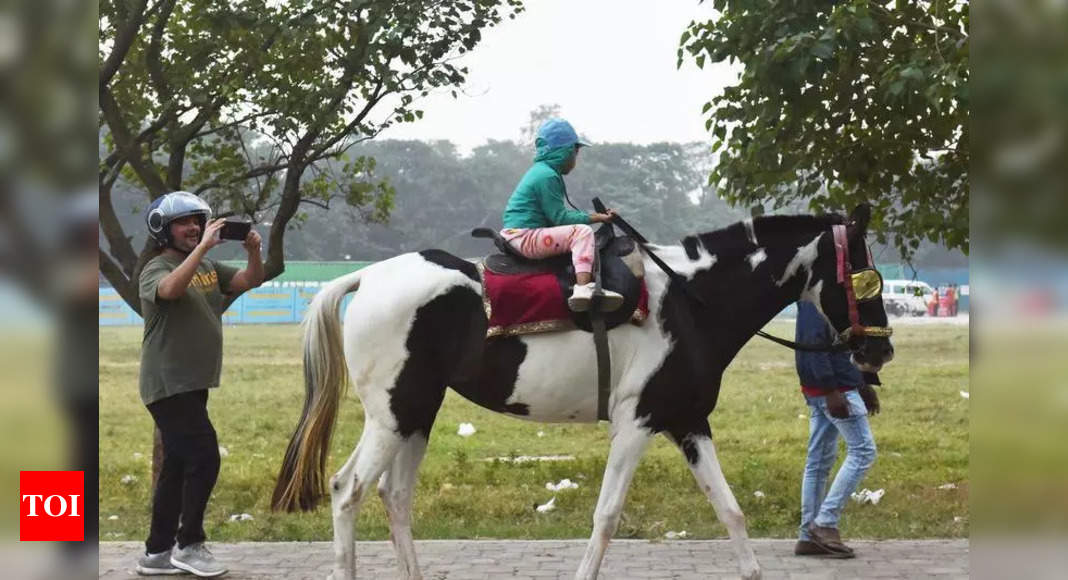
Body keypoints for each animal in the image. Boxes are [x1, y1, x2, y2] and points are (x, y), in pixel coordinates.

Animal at [273, 207, 892, 580]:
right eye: (866, 276)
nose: (879, 351)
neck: (689, 301)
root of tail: (369, 277)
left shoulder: (688, 422)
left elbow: (731, 511)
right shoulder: (637, 423)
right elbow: (607, 515)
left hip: (415, 414)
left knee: (394, 497)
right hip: (394, 414)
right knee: (348, 490)